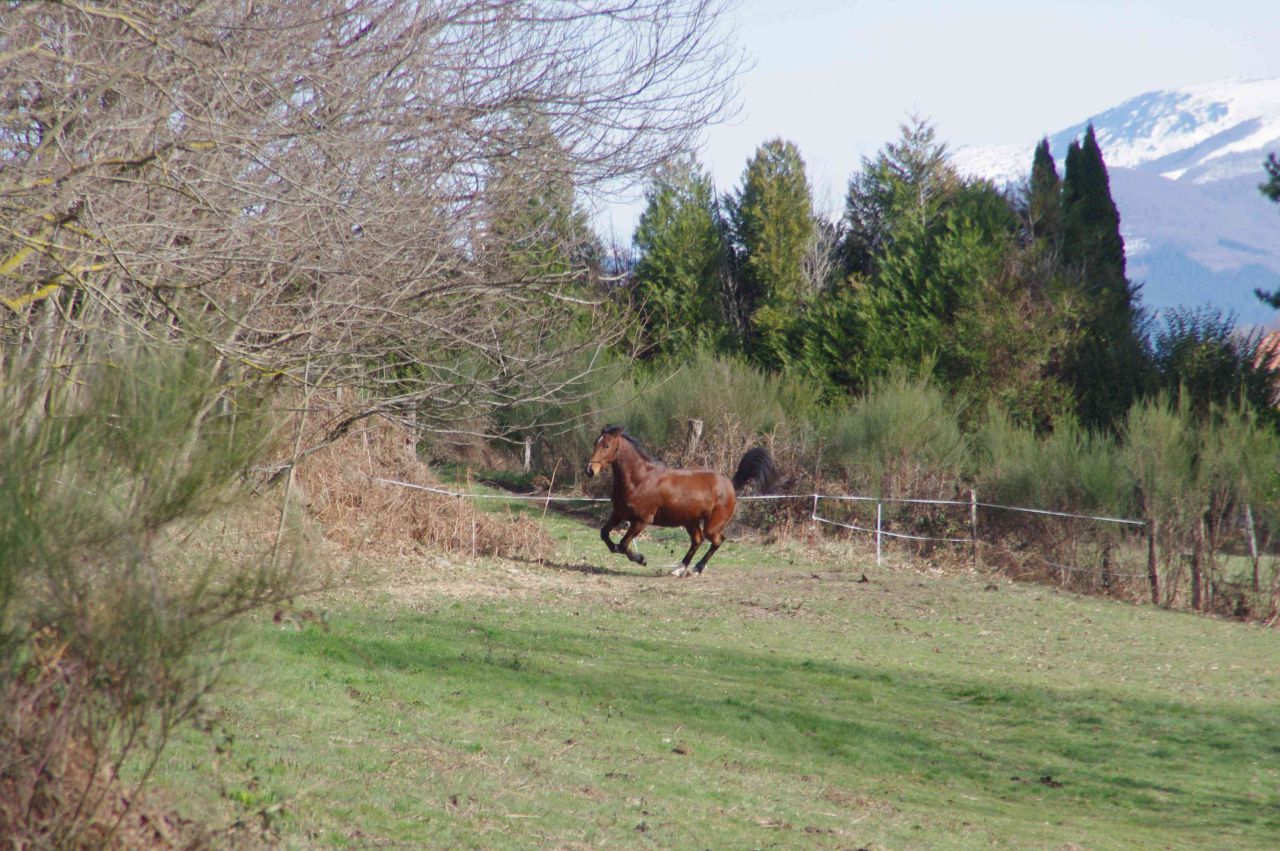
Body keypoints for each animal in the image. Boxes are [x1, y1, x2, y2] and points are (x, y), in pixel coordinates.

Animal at [584, 425, 777, 576]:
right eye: (595, 443)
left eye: (606, 445)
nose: (590, 471)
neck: (640, 479)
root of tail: (729, 484)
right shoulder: (618, 514)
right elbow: (604, 533)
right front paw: (617, 549)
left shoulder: (641, 520)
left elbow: (624, 544)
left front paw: (641, 559)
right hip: (690, 521)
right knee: (698, 540)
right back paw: (679, 569)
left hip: (712, 524)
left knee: (717, 540)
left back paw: (696, 569)